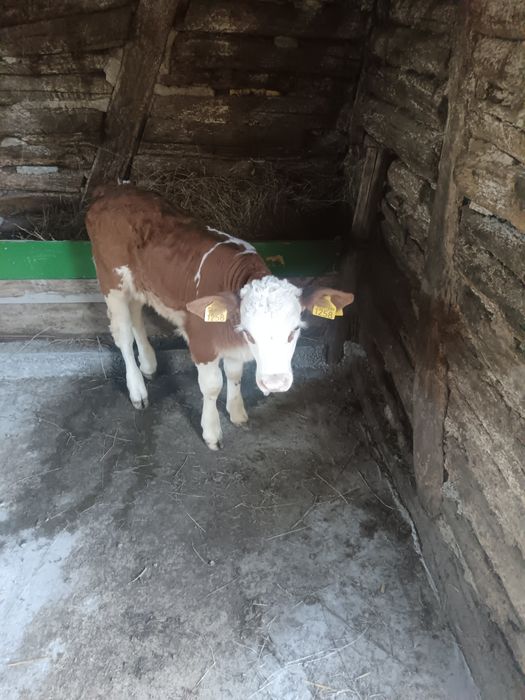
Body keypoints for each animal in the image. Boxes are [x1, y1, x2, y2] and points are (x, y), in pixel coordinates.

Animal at [86, 186, 354, 450]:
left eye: (295, 330)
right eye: (249, 334)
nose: (275, 383)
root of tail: (112, 190)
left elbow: (234, 375)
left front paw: (237, 413)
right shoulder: (201, 342)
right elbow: (213, 386)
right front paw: (212, 431)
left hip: (139, 285)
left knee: (136, 317)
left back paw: (149, 364)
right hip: (111, 282)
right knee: (123, 336)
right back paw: (137, 390)